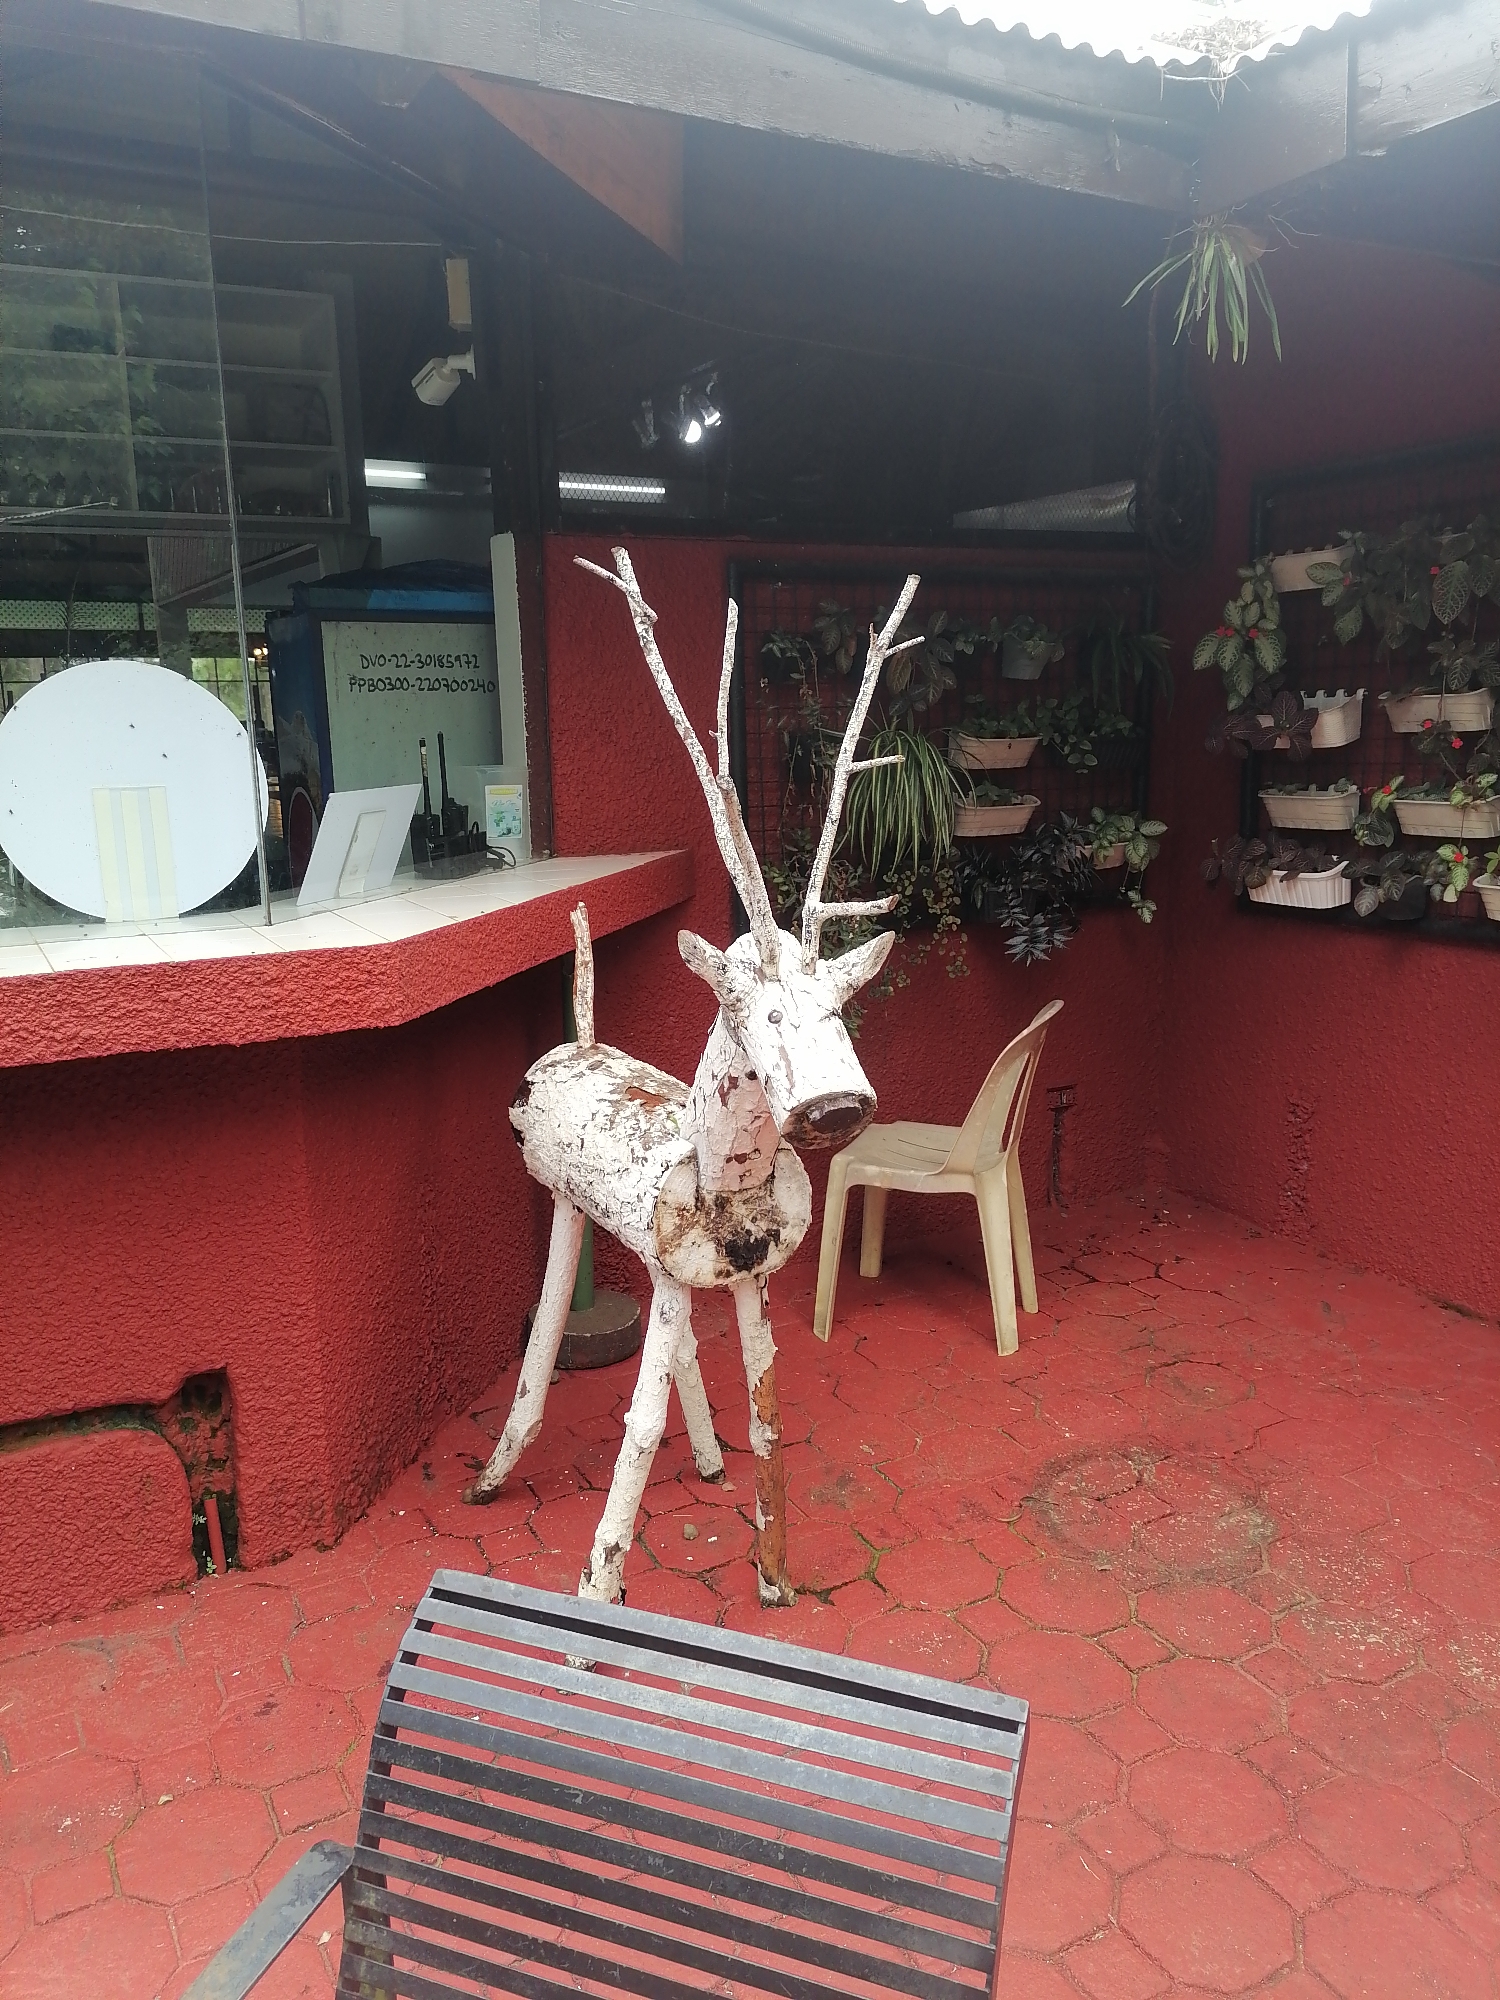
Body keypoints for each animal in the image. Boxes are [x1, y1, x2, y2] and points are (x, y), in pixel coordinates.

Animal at [464, 547, 922, 1610]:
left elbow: (764, 1416)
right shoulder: (665, 1264)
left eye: (840, 1009)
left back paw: (707, 1458)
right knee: (547, 1344)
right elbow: (634, 1433)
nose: (839, 1104)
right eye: (761, 1015)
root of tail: (579, 1039)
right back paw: (494, 1475)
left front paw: (776, 1581)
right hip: (568, 1207)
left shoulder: (739, 1279)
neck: (731, 1188)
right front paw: (594, 1599)